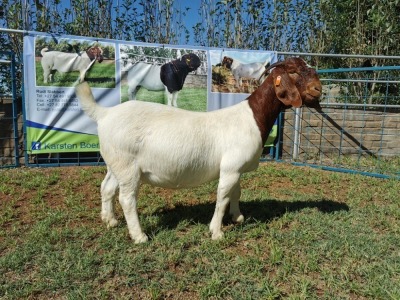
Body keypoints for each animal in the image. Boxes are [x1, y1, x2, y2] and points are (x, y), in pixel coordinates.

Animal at [75, 56, 324, 244]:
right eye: (293, 71)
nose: (318, 89)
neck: (252, 117)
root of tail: (105, 114)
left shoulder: (236, 168)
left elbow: (236, 193)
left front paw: (237, 217)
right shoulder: (230, 168)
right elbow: (222, 197)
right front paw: (217, 231)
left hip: (115, 162)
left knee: (107, 188)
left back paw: (110, 221)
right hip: (127, 166)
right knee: (127, 198)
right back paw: (139, 236)